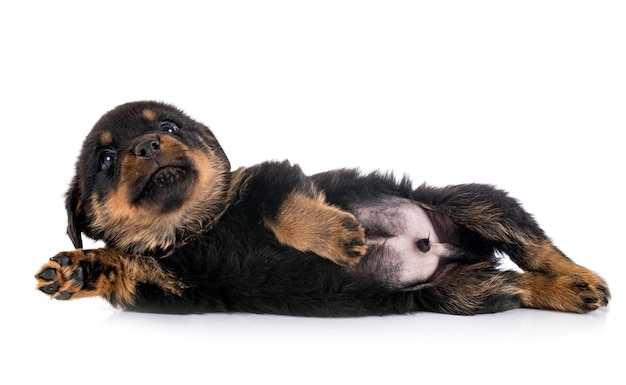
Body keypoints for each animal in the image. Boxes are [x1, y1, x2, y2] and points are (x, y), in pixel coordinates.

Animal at [35, 100, 608, 314]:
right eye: (107, 159)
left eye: (171, 126)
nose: (150, 145)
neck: (195, 228)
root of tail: (444, 249)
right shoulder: (174, 285)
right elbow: (124, 266)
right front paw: (79, 270)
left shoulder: (270, 180)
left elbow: (285, 211)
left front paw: (339, 237)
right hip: (460, 294)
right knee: (517, 285)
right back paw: (566, 293)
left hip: (475, 202)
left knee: (535, 245)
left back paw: (583, 279)